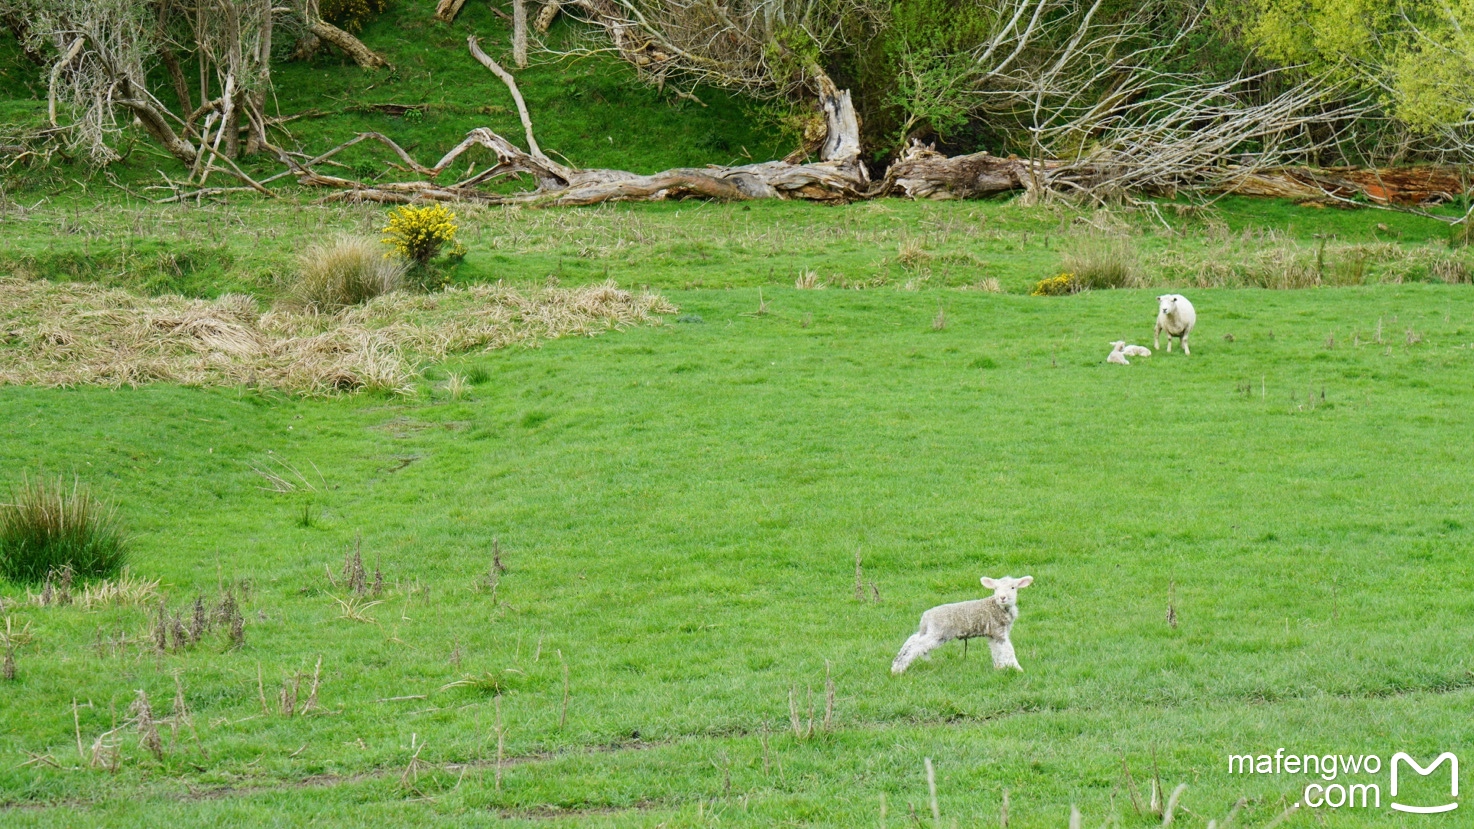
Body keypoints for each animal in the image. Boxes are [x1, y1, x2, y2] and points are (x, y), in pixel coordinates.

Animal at [884, 575, 1037, 672]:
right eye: (995, 588)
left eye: (1013, 587)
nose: (1002, 597)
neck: (997, 606)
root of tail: (926, 616)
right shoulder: (999, 631)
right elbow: (1008, 650)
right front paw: (1017, 668)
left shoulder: (993, 634)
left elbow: (997, 651)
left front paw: (1000, 667)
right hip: (937, 633)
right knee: (916, 646)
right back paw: (899, 669)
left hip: (929, 631)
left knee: (911, 640)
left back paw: (895, 664)